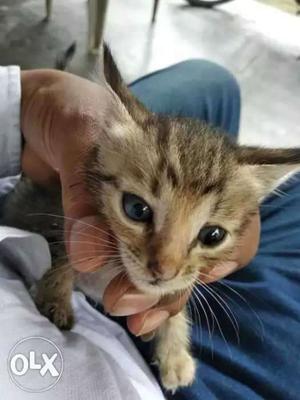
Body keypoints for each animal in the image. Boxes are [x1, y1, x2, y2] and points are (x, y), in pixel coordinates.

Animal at [2, 47, 300, 390]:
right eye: (136, 209)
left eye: (212, 235)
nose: (164, 271)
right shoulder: (62, 210)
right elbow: (64, 254)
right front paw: (55, 299)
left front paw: (175, 352)